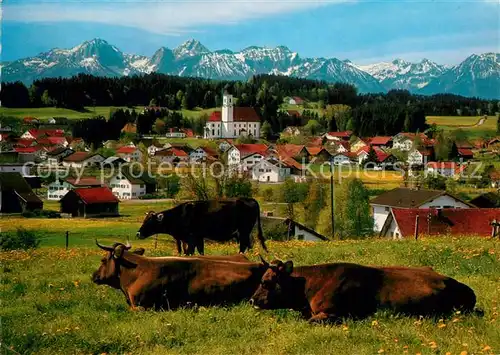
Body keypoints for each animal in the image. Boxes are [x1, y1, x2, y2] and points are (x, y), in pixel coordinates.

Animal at [135, 197, 268, 256]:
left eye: (149, 221)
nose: (138, 233)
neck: (181, 214)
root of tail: (248, 199)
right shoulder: (198, 238)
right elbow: (200, 251)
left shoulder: (191, 238)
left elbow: (189, 252)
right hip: (244, 233)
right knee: (249, 245)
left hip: (243, 231)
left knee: (244, 245)